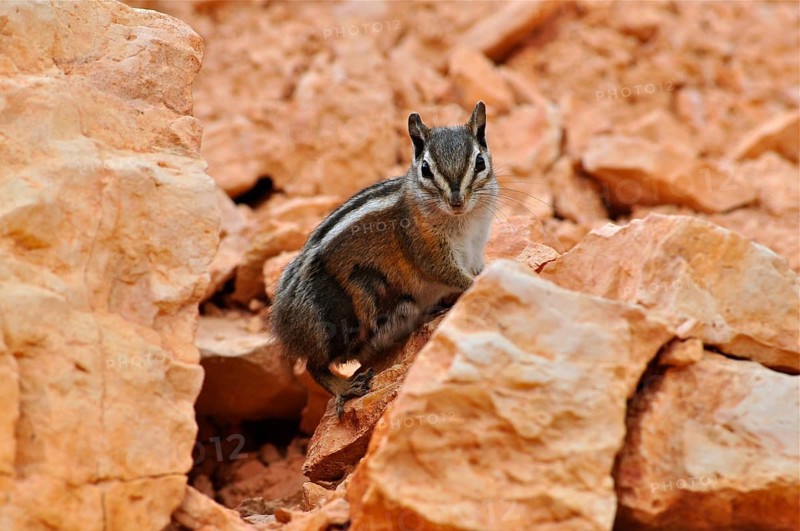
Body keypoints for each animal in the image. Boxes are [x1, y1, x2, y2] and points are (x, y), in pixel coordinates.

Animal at [270, 101, 498, 417]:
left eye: (479, 162)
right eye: (425, 169)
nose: (456, 201)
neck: (463, 220)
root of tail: (283, 325)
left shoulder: (475, 246)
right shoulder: (426, 248)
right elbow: (446, 272)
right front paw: (472, 285)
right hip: (340, 318)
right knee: (315, 365)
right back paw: (345, 387)